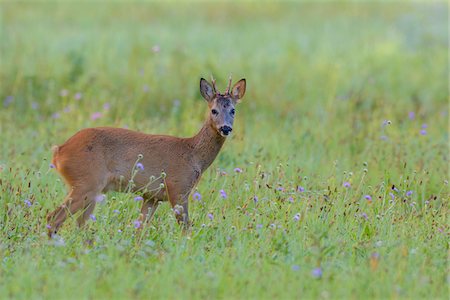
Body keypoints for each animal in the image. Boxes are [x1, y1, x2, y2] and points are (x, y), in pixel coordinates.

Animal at [45, 75, 246, 237]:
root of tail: (59, 151)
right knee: (54, 217)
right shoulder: (178, 188)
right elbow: (186, 229)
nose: (226, 128)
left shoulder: (152, 197)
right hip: (86, 183)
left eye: (233, 110)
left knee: (78, 223)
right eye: (213, 110)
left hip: (91, 190)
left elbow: (140, 229)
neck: (193, 154)